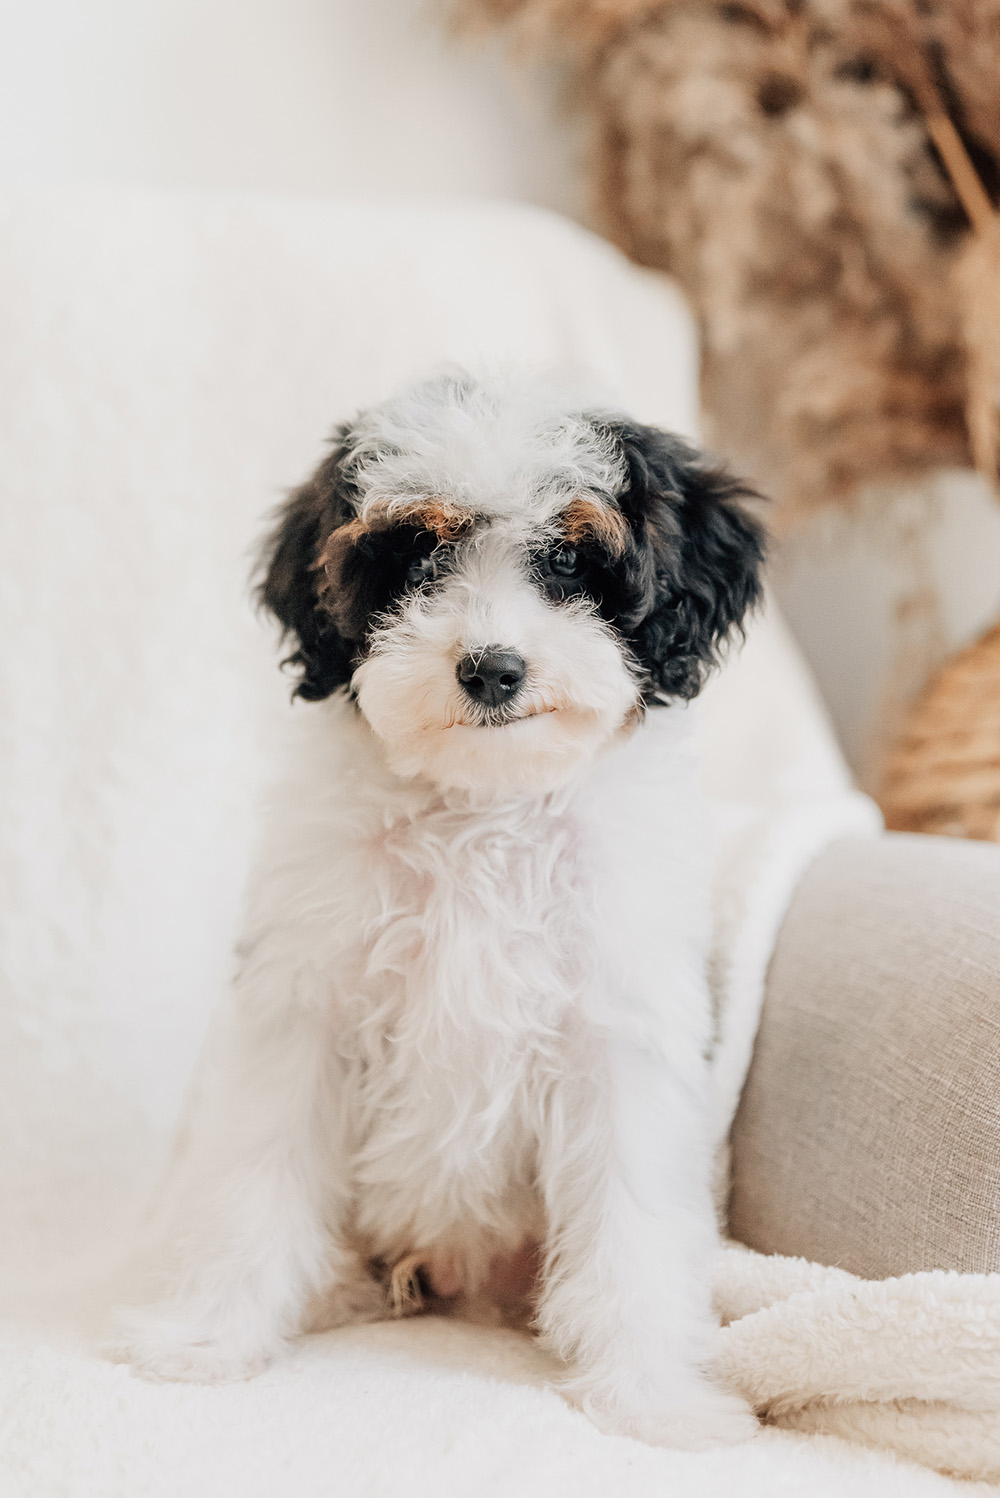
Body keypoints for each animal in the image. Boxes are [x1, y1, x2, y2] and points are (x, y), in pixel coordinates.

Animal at [119, 368, 766, 1444]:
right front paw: (209, 1336)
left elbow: (631, 1220)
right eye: (415, 557)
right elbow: (255, 1178)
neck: (481, 805)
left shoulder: (618, 1029)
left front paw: (652, 1396)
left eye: (570, 560)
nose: (492, 668)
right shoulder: (304, 1005)